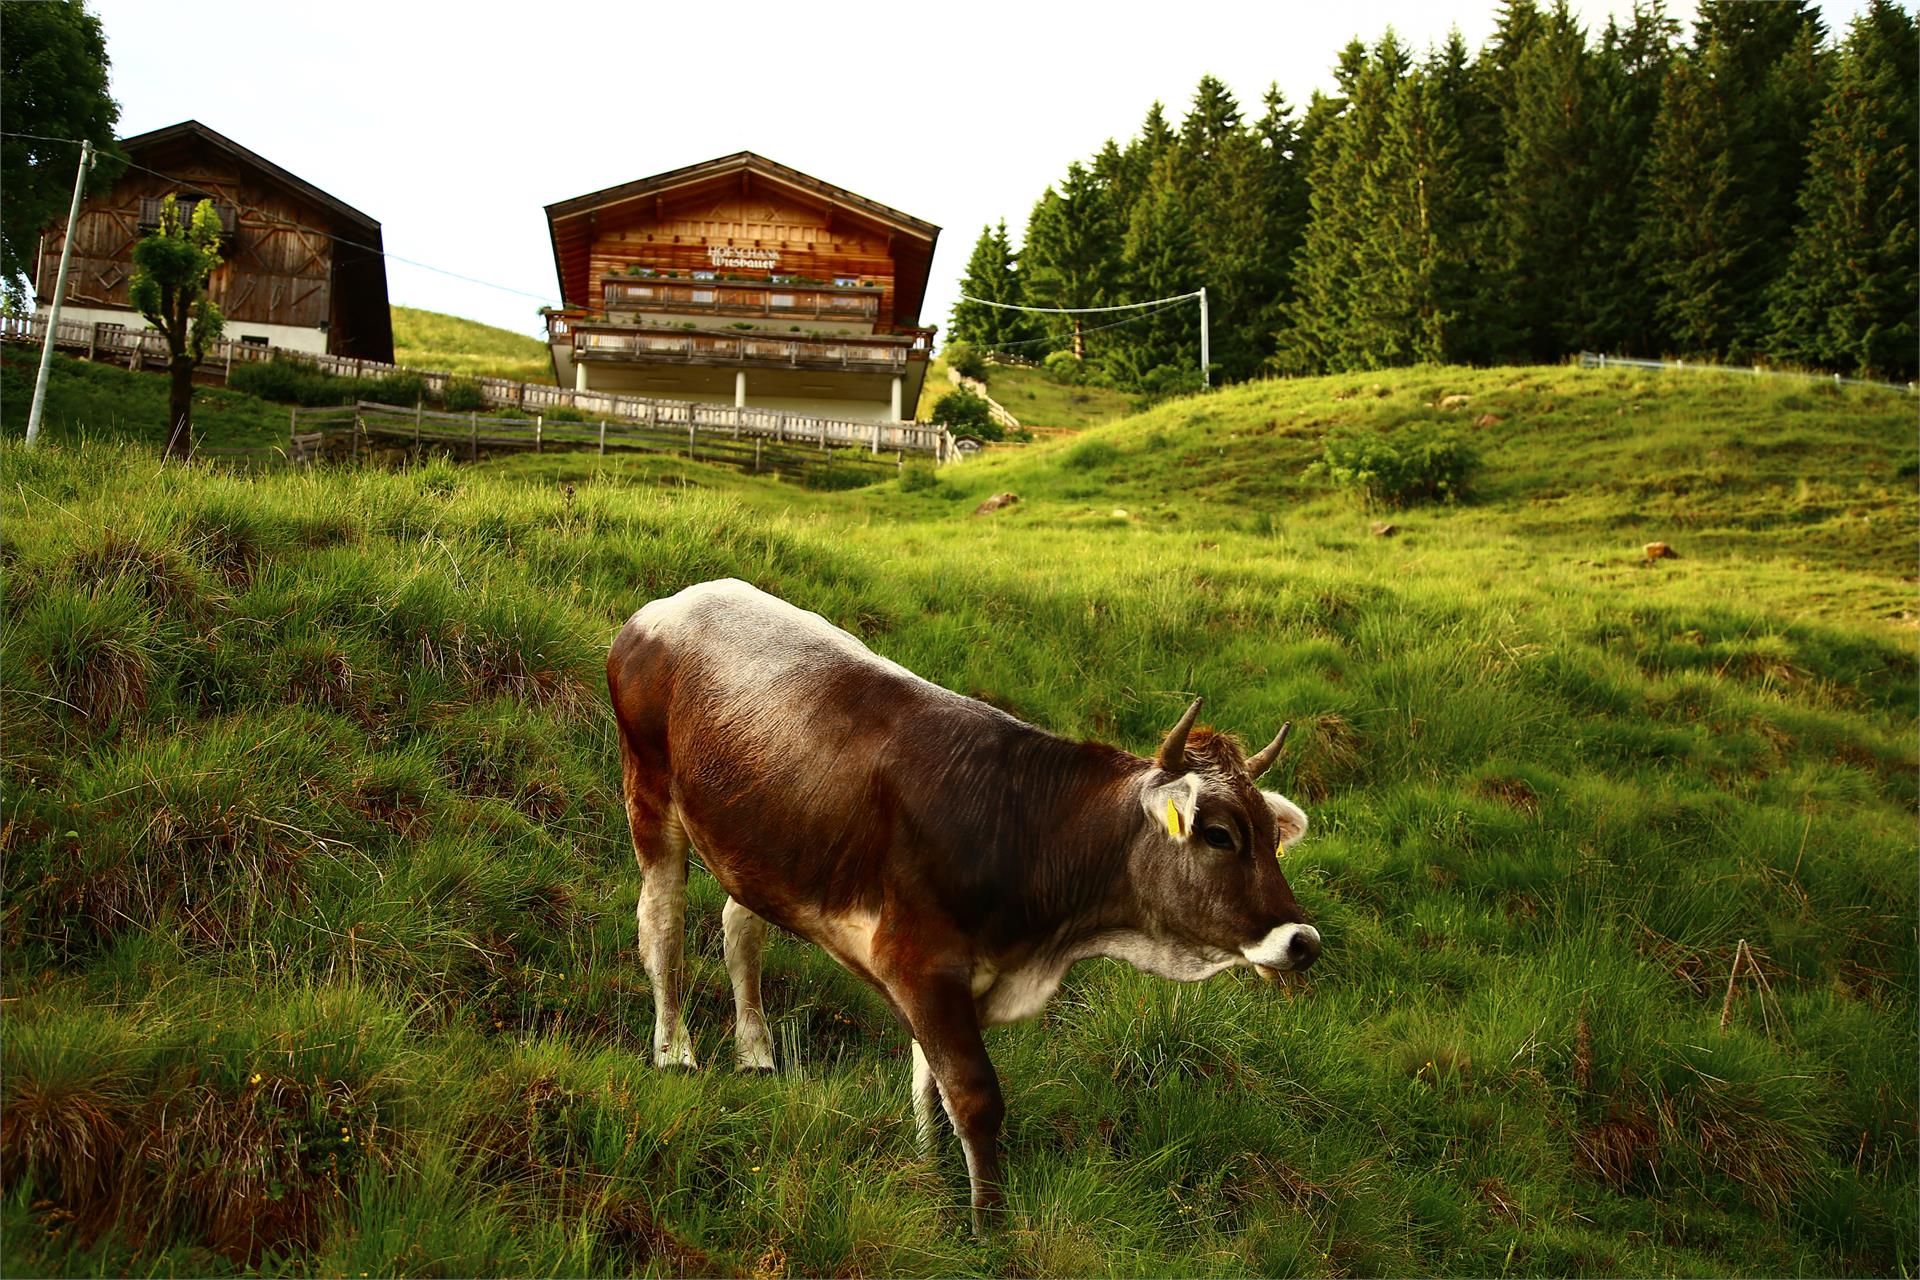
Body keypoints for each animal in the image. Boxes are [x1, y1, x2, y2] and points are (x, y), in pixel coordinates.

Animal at [606, 579, 1313, 1228]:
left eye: (1272, 836)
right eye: (1219, 834)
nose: (1302, 941)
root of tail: (677, 601)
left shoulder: (947, 976)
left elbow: (931, 1084)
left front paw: (928, 1174)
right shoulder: (921, 962)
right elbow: (972, 1096)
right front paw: (985, 1223)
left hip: (764, 843)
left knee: (739, 928)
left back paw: (754, 1051)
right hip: (649, 789)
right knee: (662, 925)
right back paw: (674, 1050)